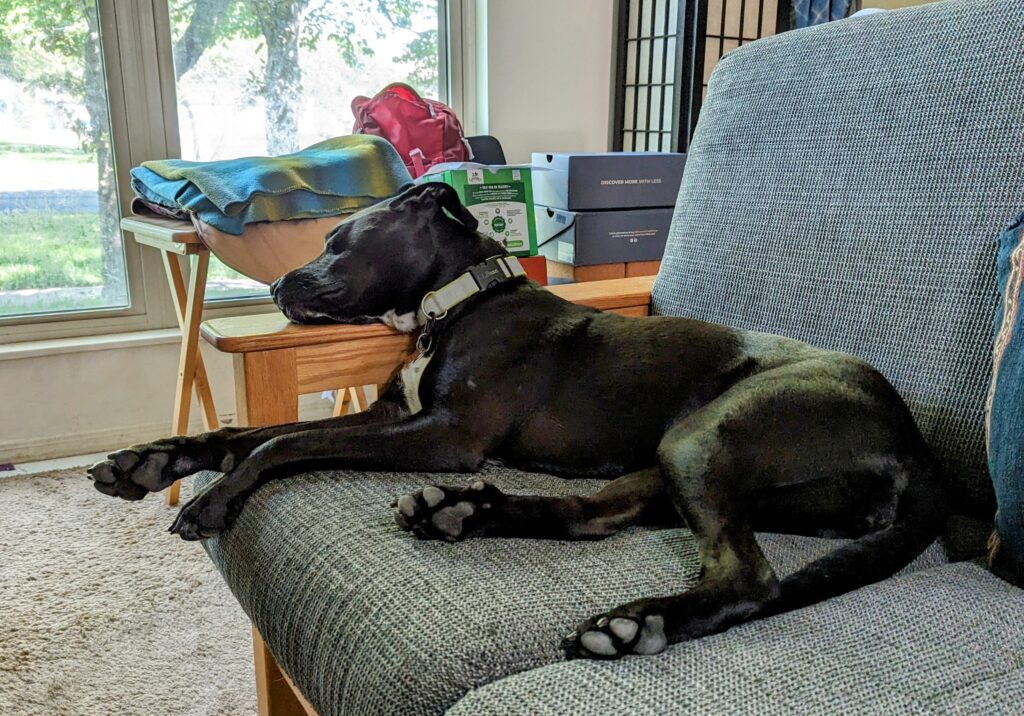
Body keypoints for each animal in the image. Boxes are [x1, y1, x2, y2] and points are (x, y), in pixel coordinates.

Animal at [88, 183, 942, 659]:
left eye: (340, 239)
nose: (276, 287)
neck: (458, 301)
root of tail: (917, 451)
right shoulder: (396, 413)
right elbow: (243, 434)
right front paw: (149, 461)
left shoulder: (445, 435)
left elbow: (282, 440)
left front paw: (211, 499)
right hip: (670, 457)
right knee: (593, 518)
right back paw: (462, 514)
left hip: (706, 437)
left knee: (750, 576)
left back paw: (635, 625)